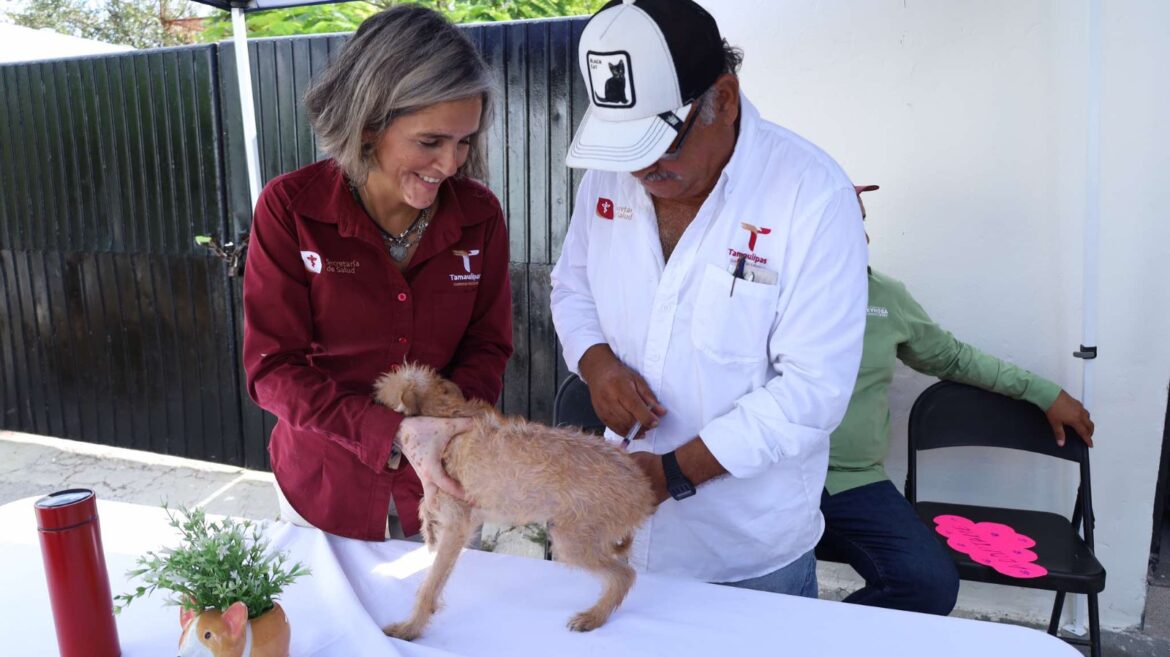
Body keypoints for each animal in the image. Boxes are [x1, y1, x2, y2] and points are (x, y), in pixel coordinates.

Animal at [372, 360, 655, 635]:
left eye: (378, 401)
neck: (449, 415)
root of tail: (644, 490)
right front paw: (428, 525)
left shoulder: (457, 527)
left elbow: (430, 585)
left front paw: (410, 628)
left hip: (569, 541)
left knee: (624, 575)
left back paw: (593, 617)